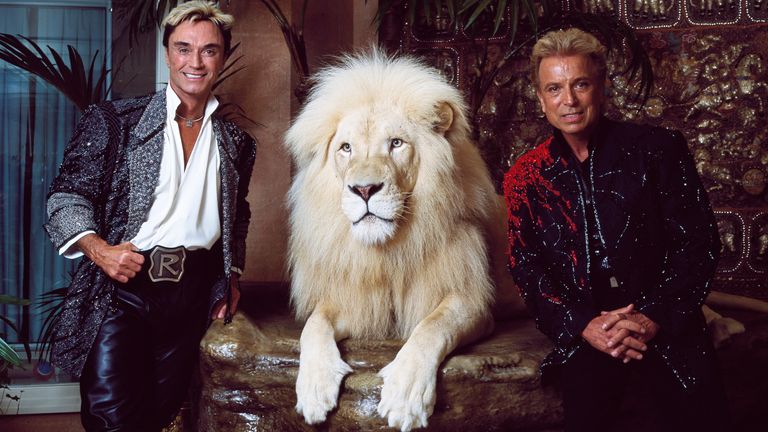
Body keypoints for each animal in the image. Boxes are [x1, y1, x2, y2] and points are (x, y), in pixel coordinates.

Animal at [284, 49, 500, 428]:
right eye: (345, 148)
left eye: (396, 144)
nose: (364, 189)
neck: (387, 250)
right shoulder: (355, 301)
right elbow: (314, 325)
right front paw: (313, 388)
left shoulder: (474, 301)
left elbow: (432, 327)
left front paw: (405, 396)